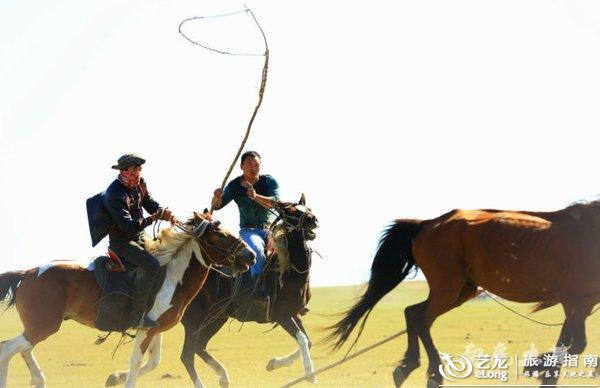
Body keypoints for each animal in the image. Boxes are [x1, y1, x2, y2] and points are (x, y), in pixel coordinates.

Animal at [0, 214, 255, 386]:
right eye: (220, 235)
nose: (250, 255)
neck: (172, 278)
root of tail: (28, 273)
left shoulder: (155, 330)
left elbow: (153, 362)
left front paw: (115, 377)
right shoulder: (145, 329)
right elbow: (137, 363)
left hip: (40, 327)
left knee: (21, 349)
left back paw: (39, 379)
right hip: (43, 326)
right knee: (8, 349)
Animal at [179, 196, 322, 386]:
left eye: (308, 208)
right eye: (291, 211)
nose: (312, 219)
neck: (289, 271)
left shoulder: (294, 313)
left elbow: (308, 341)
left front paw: (273, 363)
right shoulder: (281, 315)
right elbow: (303, 339)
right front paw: (310, 373)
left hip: (216, 318)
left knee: (199, 347)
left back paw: (223, 377)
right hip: (194, 320)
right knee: (187, 355)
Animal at [326, 203, 600, 388]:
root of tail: (427, 224)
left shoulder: (581, 305)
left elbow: (565, 342)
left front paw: (546, 373)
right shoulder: (572, 300)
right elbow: (577, 343)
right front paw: (537, 366)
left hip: (462, 290)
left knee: (413, 313)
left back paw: (409, 366)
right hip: (448, 288)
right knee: (420, 318)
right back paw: (431, 373)